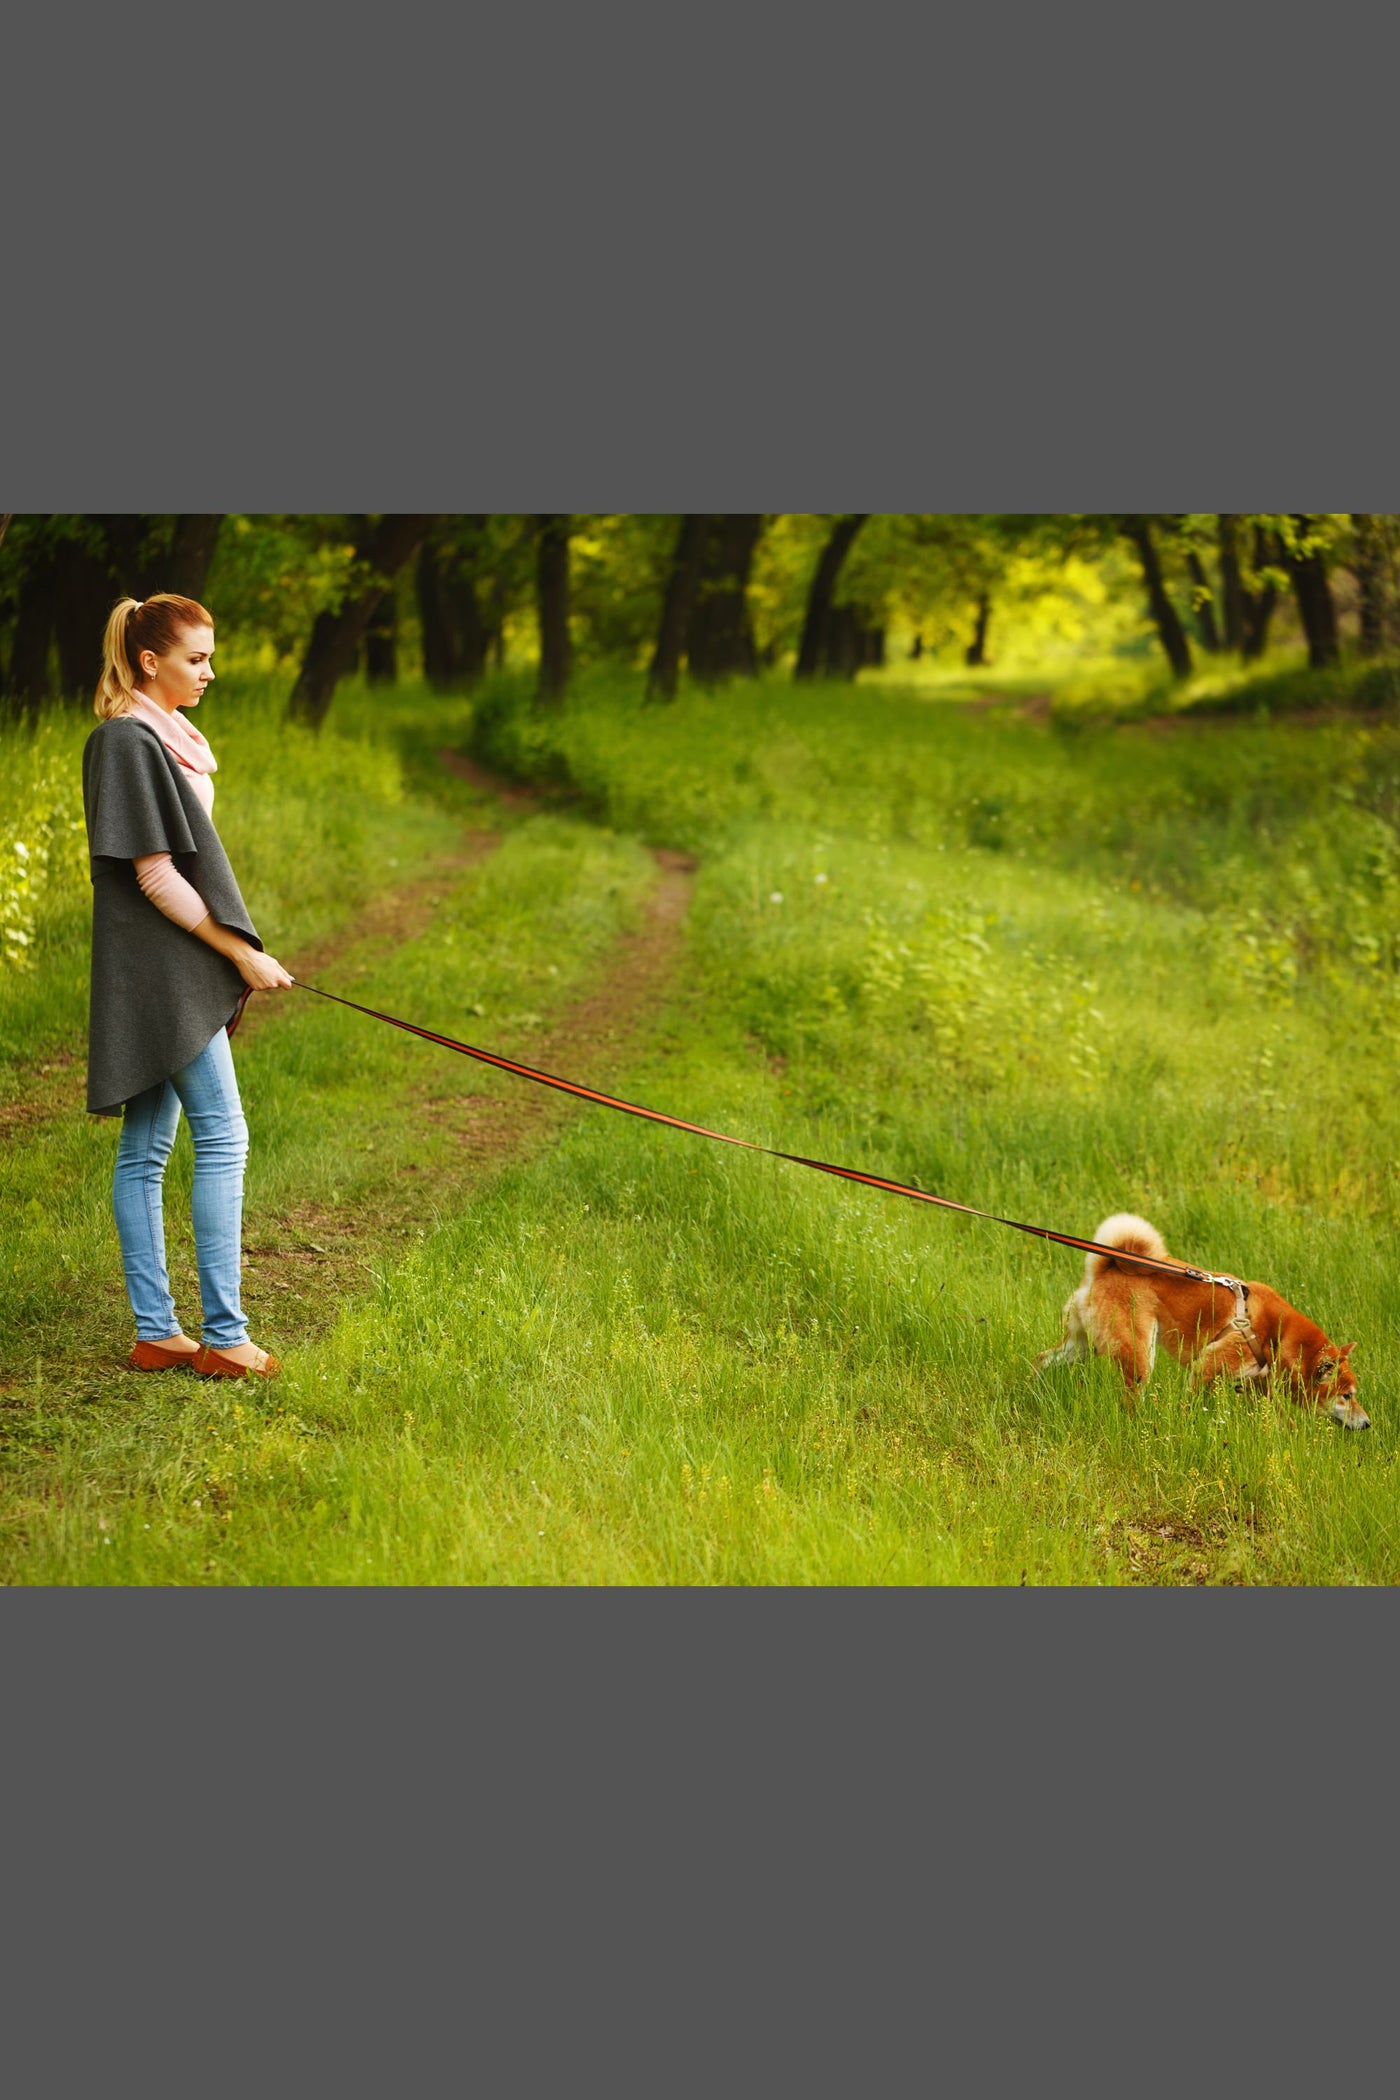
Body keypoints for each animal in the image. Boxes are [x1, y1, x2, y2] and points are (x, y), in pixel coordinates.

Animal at [1041, 1218, 1368, 1427]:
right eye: (1347, 1395)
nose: (1367, 1423)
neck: (1280, 1336)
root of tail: (1106, 1266)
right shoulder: (1207, 1368)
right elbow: (1190, 1405)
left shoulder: (1256, 1387)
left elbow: (1281, 1421)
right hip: (1138, 1358)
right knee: (1131, 1399)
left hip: (1081, 1347)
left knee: (1042, 1358)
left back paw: (1034, 1386)